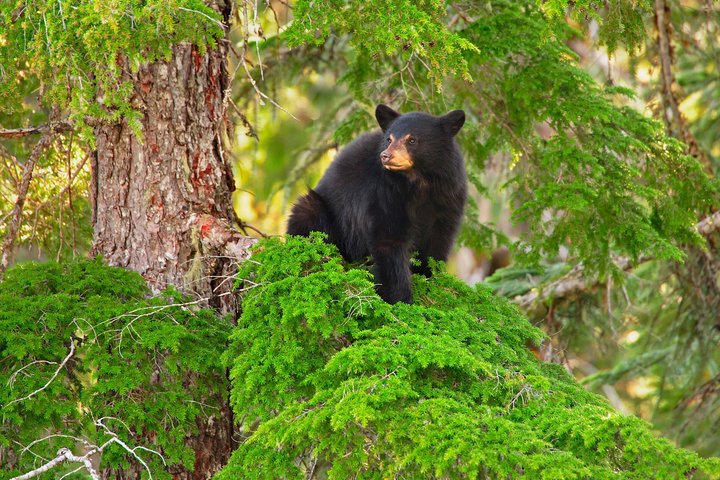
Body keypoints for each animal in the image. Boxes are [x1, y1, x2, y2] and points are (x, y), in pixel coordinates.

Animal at [287, 104, 467, 304]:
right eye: (389, 139)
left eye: (412, 140)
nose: (385, 155)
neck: (418, 182)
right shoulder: (384, 193)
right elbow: (389, 240)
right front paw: (401, 300)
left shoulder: (448, 198)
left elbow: (438, 242)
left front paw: (428, 278)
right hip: (319, 212)